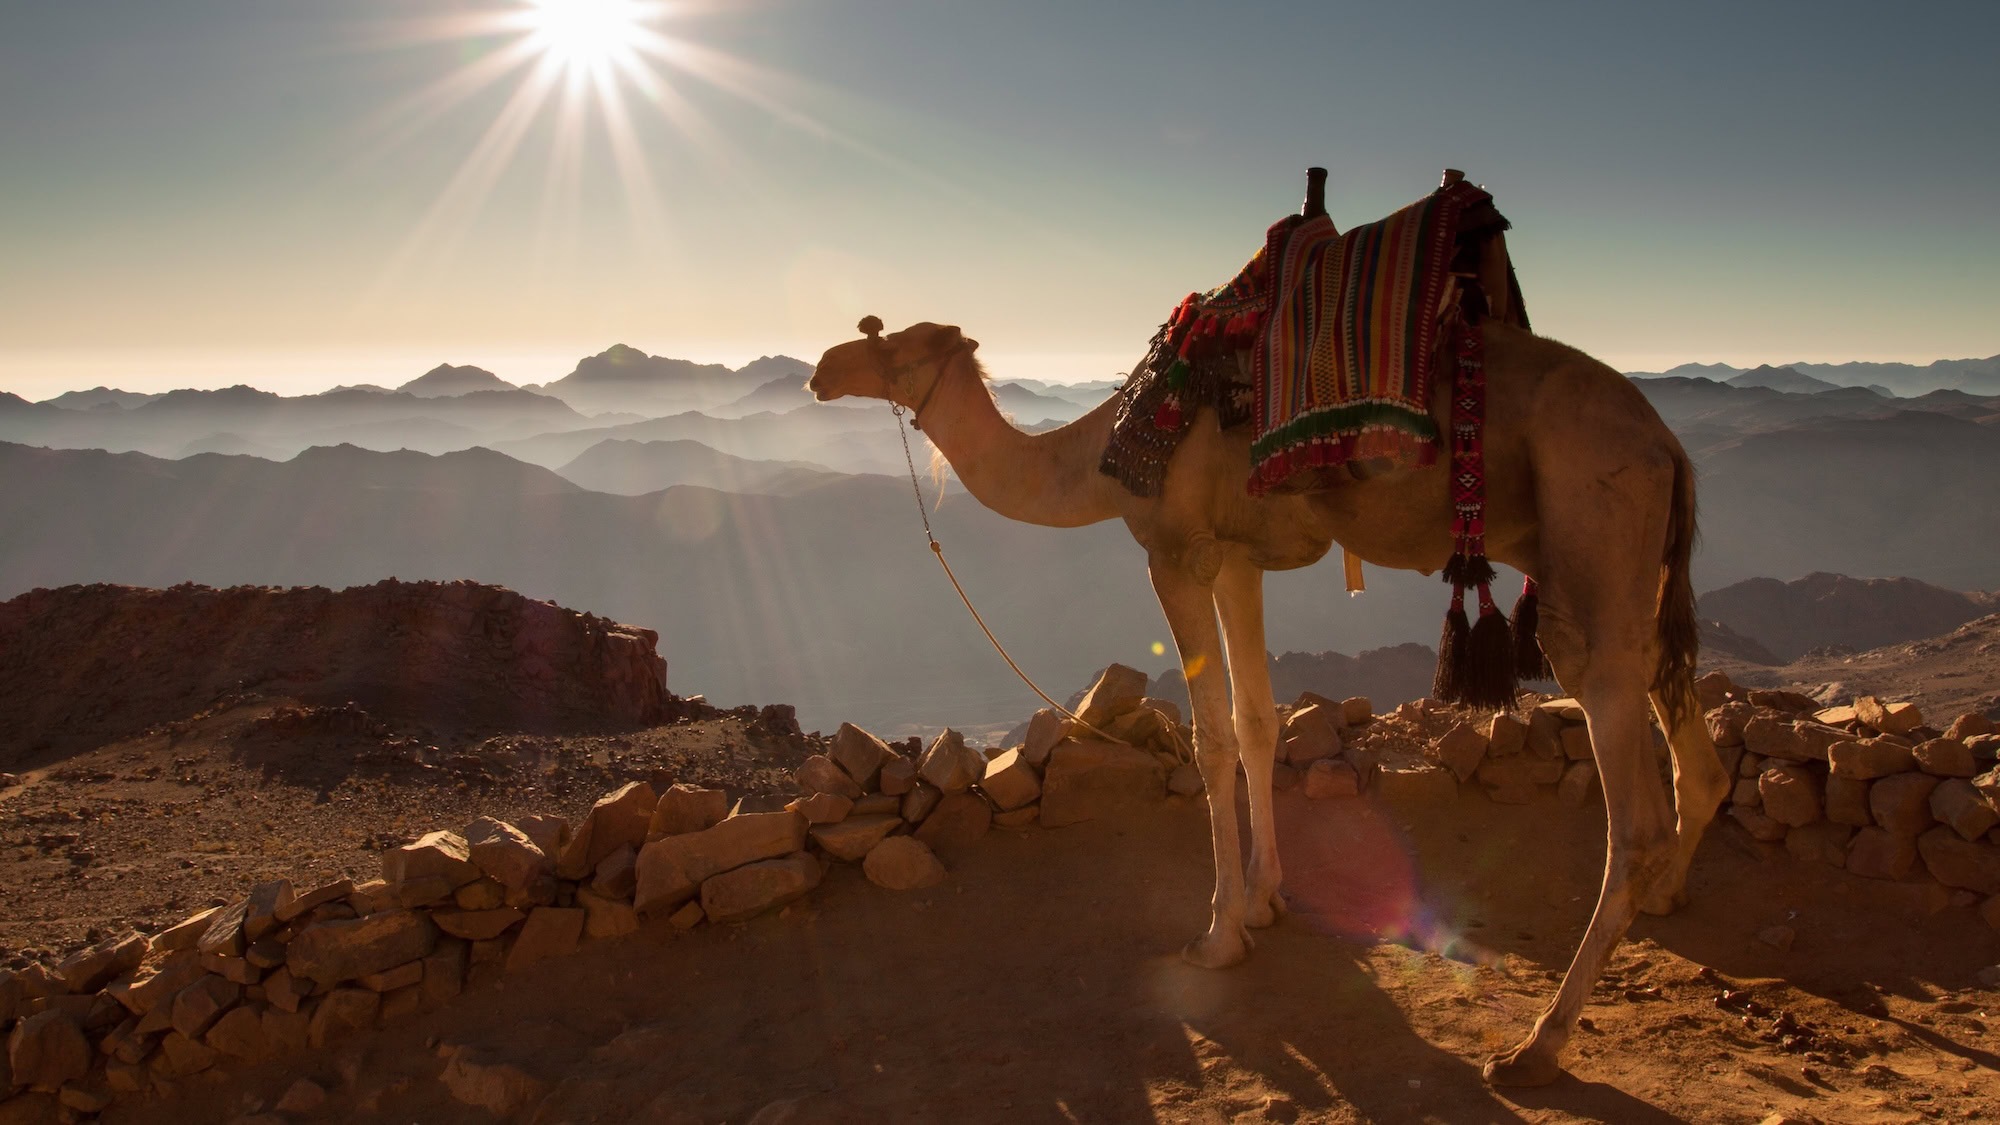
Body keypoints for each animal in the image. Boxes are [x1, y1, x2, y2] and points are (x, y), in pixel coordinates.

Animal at [808, 297, 1731, 1085]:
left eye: (897, 342)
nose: (823, 366)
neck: (1106, 455)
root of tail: (1669, 446)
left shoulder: (1175, 550)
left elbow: (1213, 738)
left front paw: (1217, 935)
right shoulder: (1236, 557)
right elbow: (1256, 720)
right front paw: (1263, 901)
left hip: (1592, 527)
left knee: (1627, 794)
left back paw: (1538, 1044)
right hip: (1631, 566)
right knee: (1677, 711)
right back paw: (1667, 892)